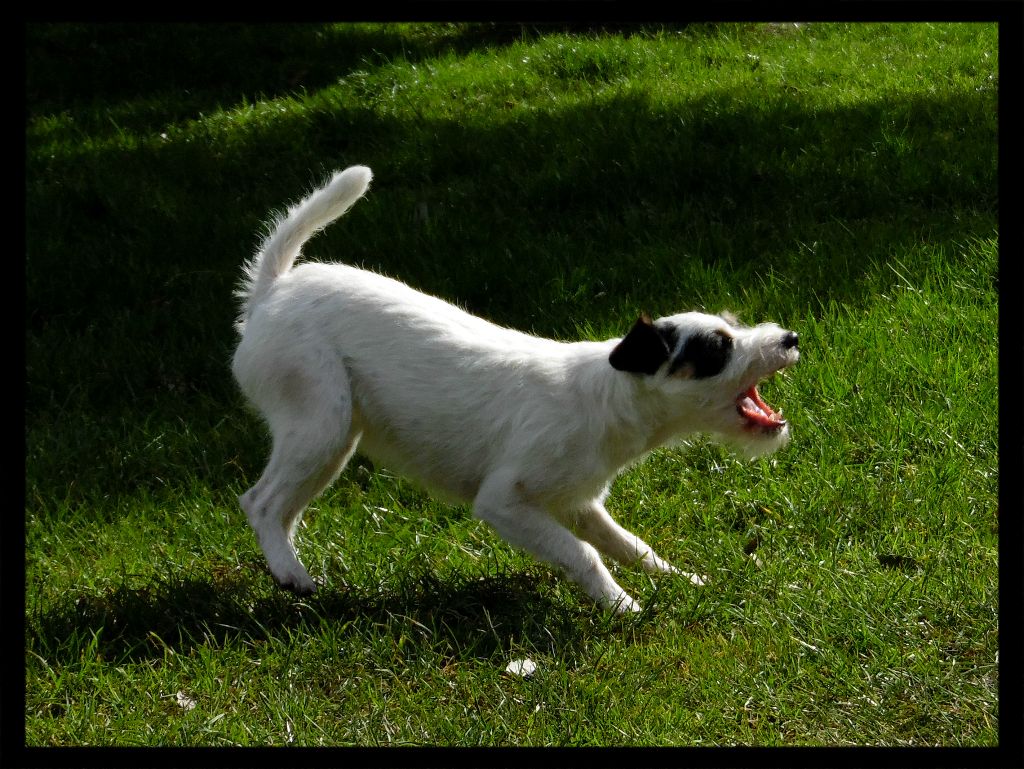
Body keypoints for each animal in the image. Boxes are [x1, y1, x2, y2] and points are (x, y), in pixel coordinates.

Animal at [232, 166, 798, 614]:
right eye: (716, 350)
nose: (790, 339)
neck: (608, 399)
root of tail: (271, 292)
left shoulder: (578, 503)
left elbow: (628, 544)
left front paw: (681, 580)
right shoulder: (505, 502)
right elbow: (583, 554)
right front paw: (623, 606)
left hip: (335, 439)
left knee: (283, 508)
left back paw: (288, 568)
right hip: (320, 422)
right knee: (260, 502)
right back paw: (291, 573)